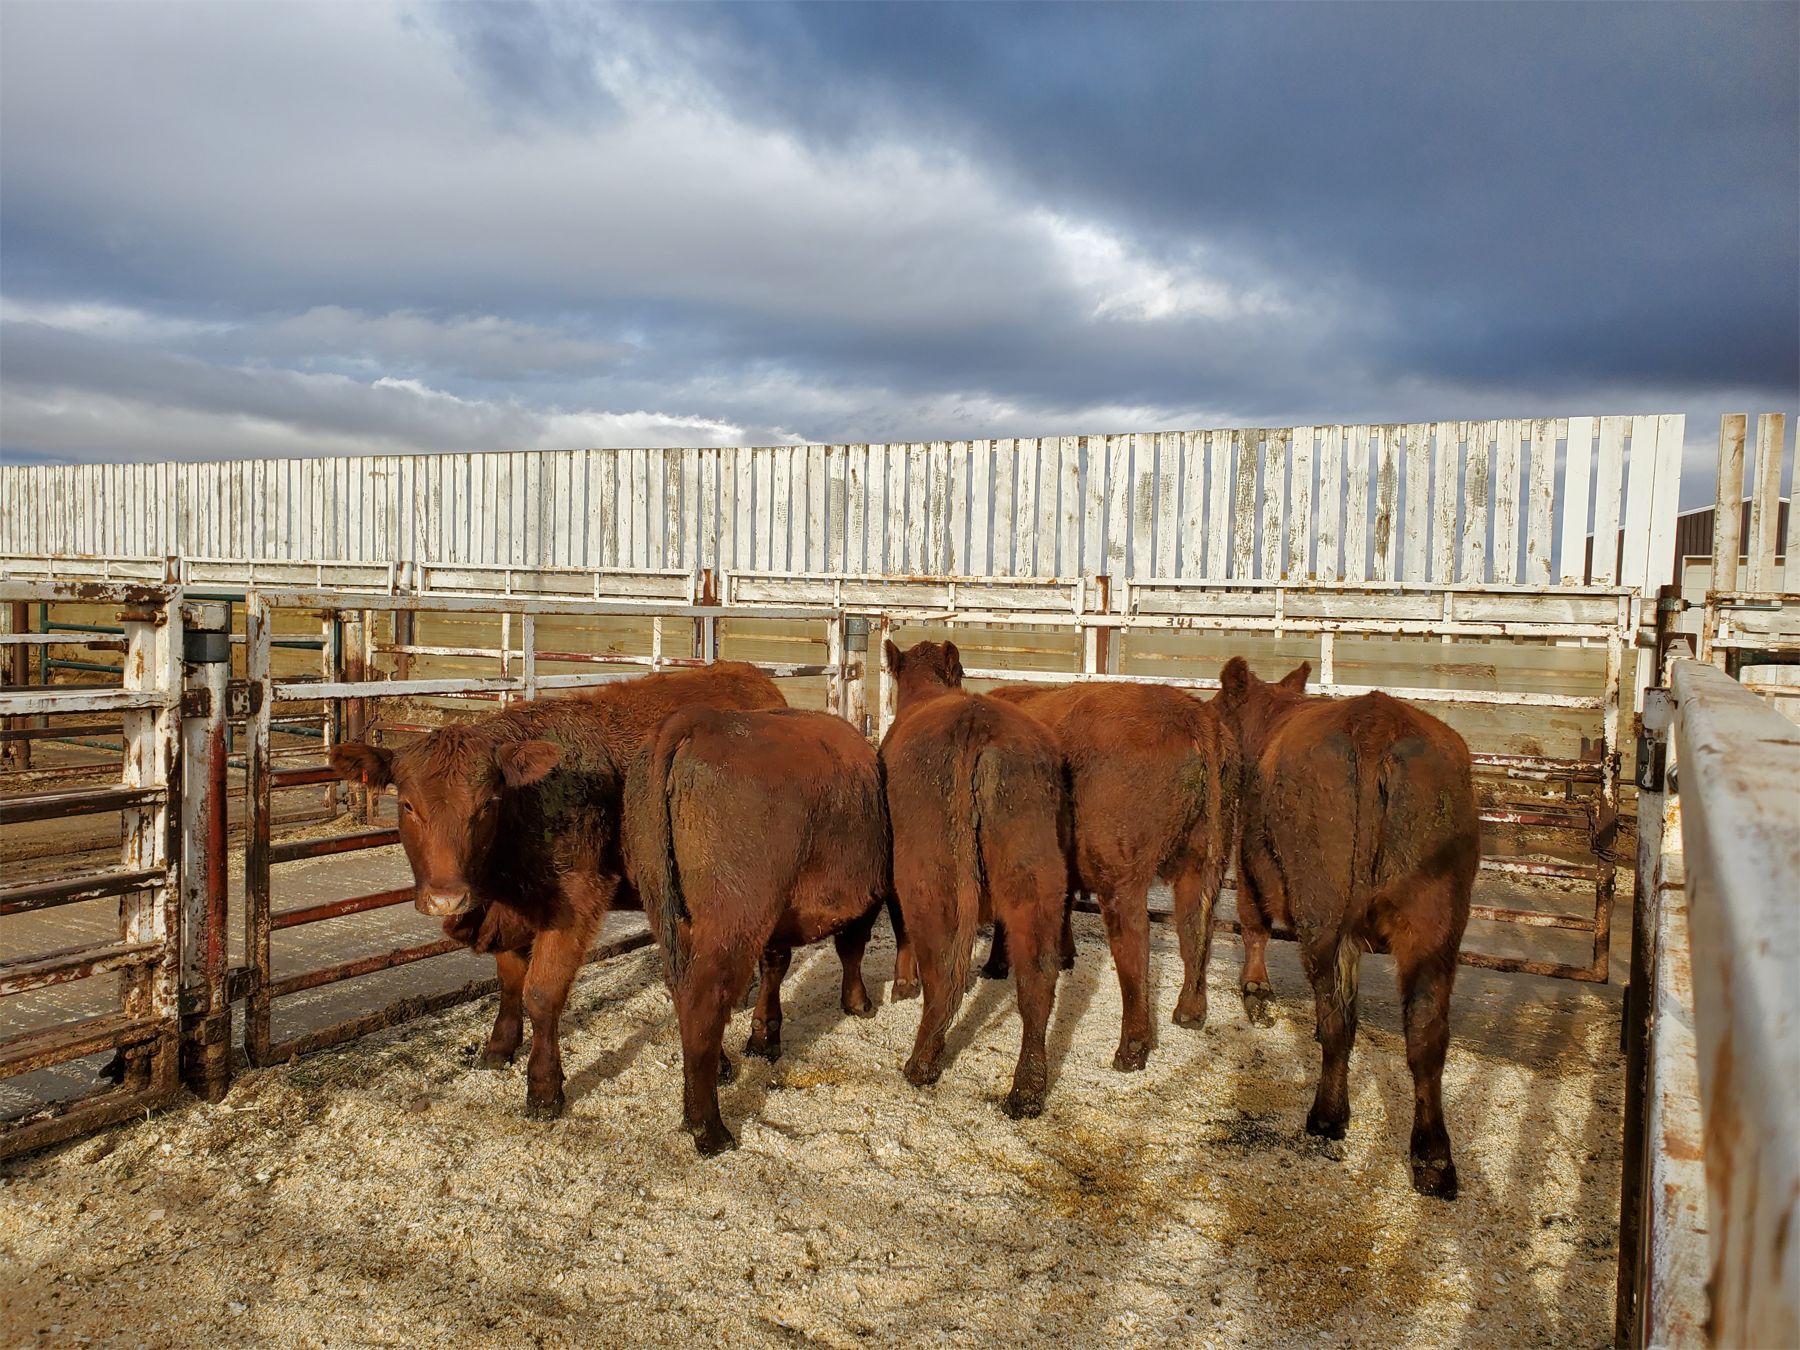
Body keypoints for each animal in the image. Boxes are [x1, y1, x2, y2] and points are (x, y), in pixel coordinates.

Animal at [326, 661, 794, 1119]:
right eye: (407, 804)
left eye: (487, 803)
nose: (447, 897)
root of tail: (744, 674)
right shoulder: (512, 911)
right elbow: (510, 981)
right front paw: (498, 1048)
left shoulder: (577, 901)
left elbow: (541, 993)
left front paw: (544, 1088)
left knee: (774, 959)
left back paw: (762, 1038)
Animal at [621, 707, 890, 1154]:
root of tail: (694, 722)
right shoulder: (869, 896)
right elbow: (851, 948)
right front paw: (858, 1003)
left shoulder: (779, 916)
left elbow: (775, 965)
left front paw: (765, 1037)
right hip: (734, 916)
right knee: (704, 1002)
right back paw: (709, 1129)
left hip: (668, 909)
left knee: (681, 987)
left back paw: (721, 1069)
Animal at [879, 639, 1067, 1120]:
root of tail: (976, 723)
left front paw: (902, 987)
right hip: (1034, 866)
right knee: (1038, 974)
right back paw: (1027, 1090)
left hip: (924, 873)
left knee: (942, 966)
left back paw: (921, 1062)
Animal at [983, 680, 1241, 1070]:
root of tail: (1193, 713)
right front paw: (1066, 955)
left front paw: (996, 964)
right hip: (1205, 862)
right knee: (1195, 927)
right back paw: (1190, 1012)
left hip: (1120, 875)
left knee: (1133, 942)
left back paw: (1131, 1049)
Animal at [1216, 657, 1478, 1199]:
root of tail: (1377, 724)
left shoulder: (1250, 854)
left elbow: (1253, 923)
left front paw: (1256, 993)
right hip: (1435, 918)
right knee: (1425, 1034)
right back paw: (1433, 1160)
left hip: (1324, 904)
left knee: (1339, 1017)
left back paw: (1327, 1115)